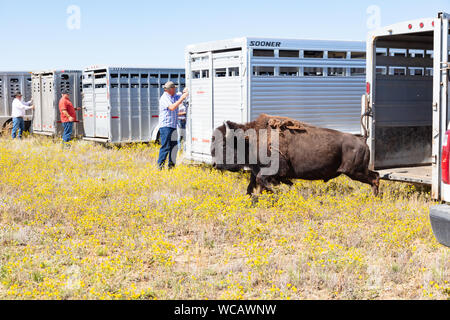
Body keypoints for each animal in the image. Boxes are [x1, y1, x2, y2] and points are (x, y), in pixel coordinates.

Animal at [211, 114, 380, 196]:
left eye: (224, 144)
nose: (214, 164)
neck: (250, 139)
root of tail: (362, 139)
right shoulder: (257, 171)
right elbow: (253, 185)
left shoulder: (273, 171)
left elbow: (261, 182)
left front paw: (275, 193)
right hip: (357, 171)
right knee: (376, 175)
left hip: (354, 171)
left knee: (375, 178)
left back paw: (374, 198)